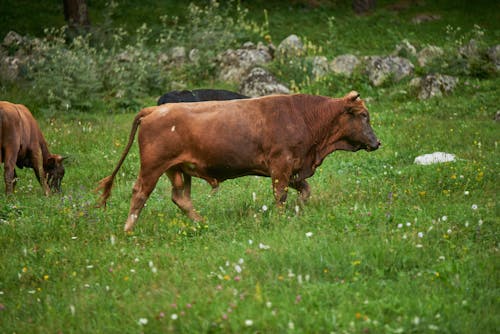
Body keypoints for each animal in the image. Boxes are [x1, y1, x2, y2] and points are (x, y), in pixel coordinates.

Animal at [96, 92, 378, 232]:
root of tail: (154, 110)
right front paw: (281, 218)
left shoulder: (293, 169)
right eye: (364, 115)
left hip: (179, 170)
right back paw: (128, 229)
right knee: (139, 193)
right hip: (152, 167)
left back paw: (203, 223)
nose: (377, 142)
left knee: (181, 198)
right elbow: (280, 195)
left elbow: (305, 191)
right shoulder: (281, 166)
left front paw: (298, 209)